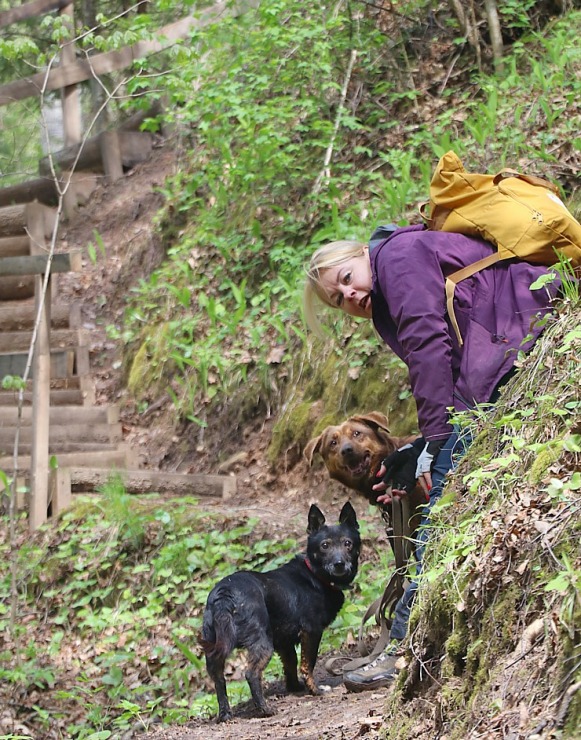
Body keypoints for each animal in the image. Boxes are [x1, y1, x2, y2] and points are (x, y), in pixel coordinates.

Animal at [202, 502, 360, 724]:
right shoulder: (311, 632)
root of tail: (225, 593)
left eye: (348, 543)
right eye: (325, 546)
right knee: (251, 673)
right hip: (261, 641)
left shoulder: (284, 642)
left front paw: (294, 688)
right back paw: (265, 709)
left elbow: (291, 664)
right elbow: (308, 664)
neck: (315, 575)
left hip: (213, 646)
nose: (339, 564)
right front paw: (315, 690)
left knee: (218, 678)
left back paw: (225, 714)